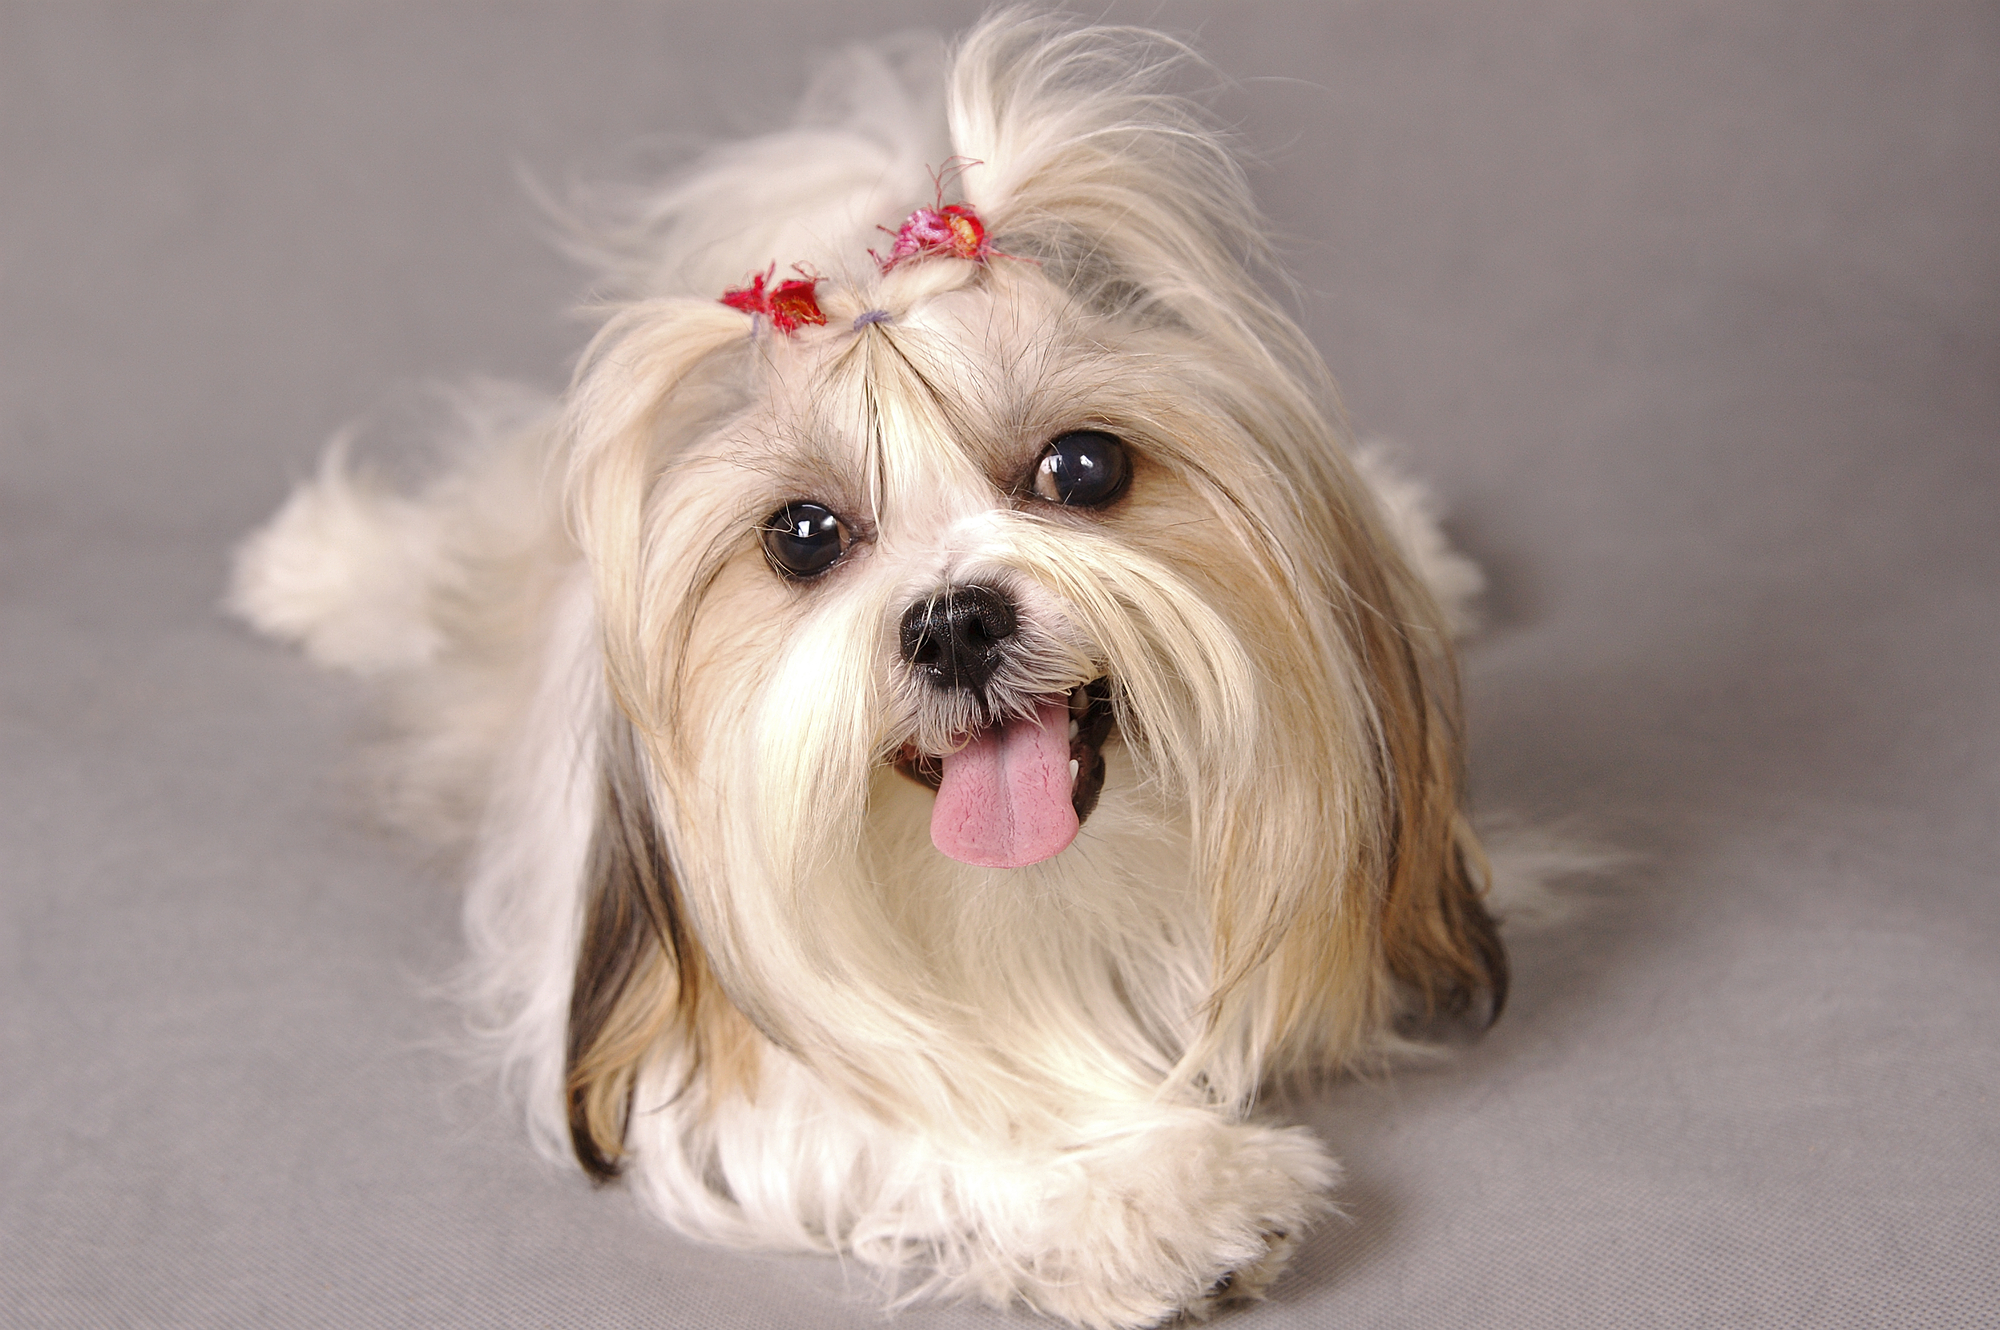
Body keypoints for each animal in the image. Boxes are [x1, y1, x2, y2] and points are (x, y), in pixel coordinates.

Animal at [230, 13, 1504, 1328]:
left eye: (1082, 466)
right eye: (804, 534)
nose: (952, 623)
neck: (1036, 910)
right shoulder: (707, 1048)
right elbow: (903, 1098)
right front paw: (1141, 1189)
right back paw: (317, 564)